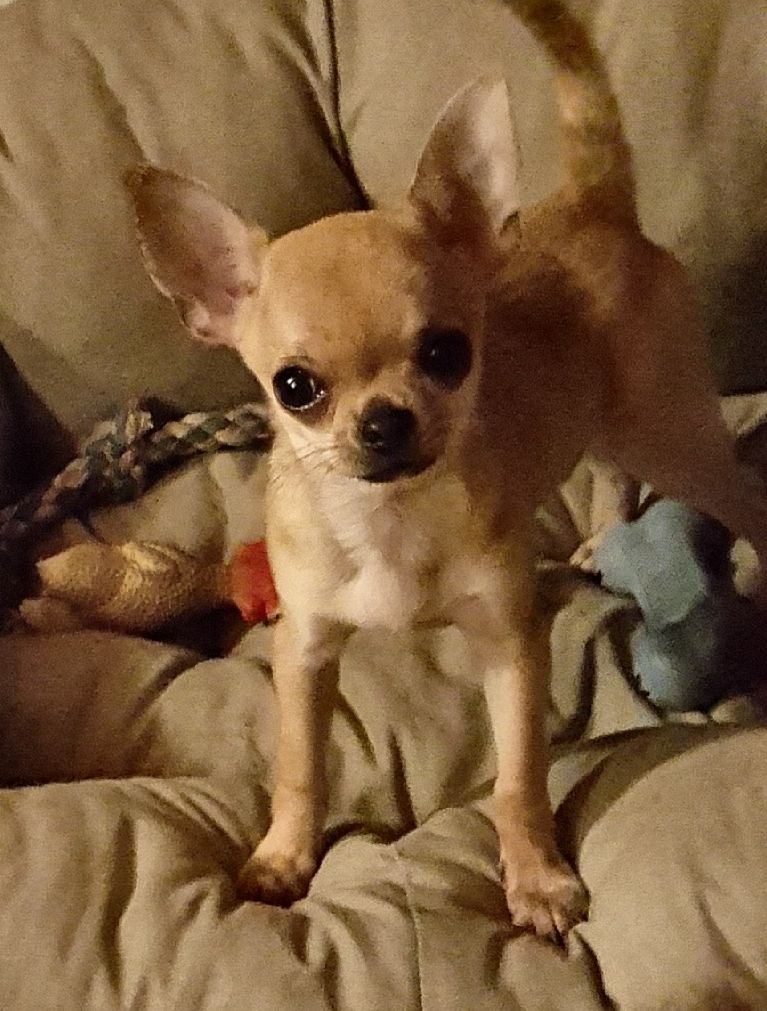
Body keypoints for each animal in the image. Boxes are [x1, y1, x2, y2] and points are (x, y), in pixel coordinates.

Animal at [125, 0, 767, 940]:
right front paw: (285, 854)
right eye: (294, 387)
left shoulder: (510, 647)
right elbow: (299, 765)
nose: (384, 420)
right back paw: (605, 535)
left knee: (742, 494)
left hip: (671, 433)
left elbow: (517, 779)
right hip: (617, 422)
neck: (391, 516)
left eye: (447, 353)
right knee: (612, 470)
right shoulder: (304, 649)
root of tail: (592, 204)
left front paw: (535, 876)